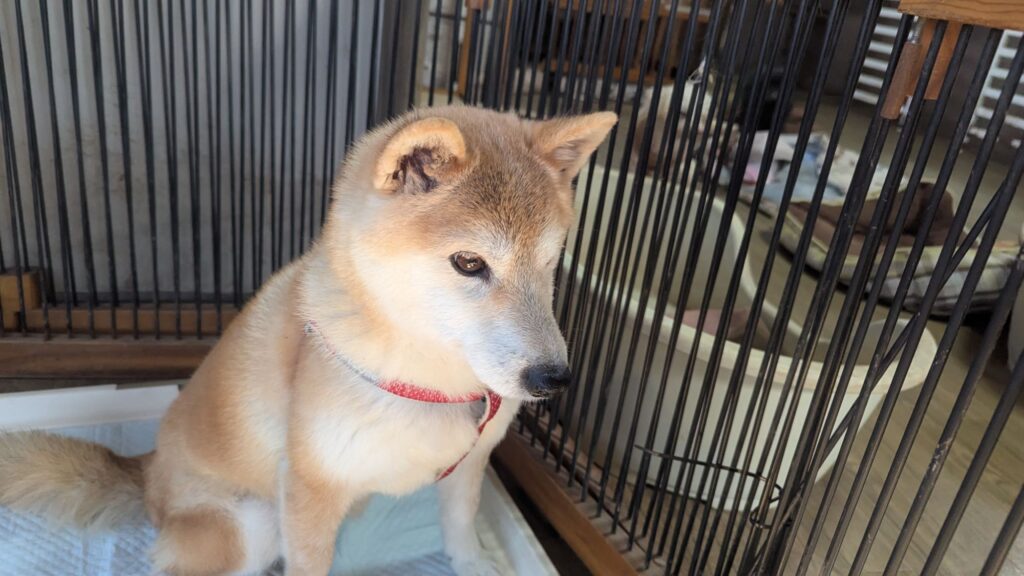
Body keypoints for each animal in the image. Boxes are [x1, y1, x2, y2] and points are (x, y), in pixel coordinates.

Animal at [0, 105, 616, 576]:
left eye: (551, 261)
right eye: (469, 263)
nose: (553, 378)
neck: (435, 383)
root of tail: (147, 471)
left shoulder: (468, 467)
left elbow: (461, 535)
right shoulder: (306, 493)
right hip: (252, 522)